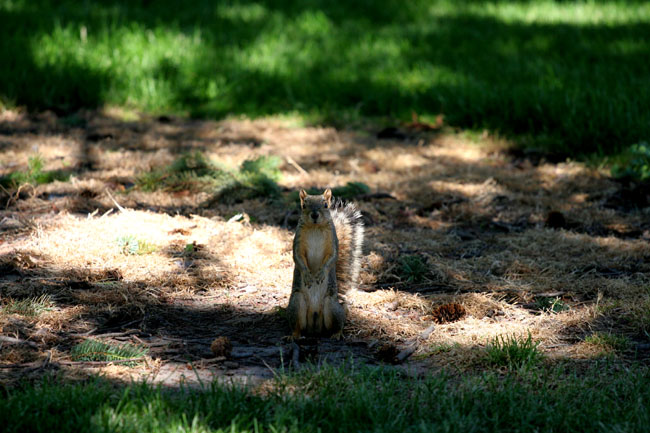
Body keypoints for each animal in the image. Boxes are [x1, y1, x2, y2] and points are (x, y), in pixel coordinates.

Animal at [287, 188, 364, 339]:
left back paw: (337, 334)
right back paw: (293, 335)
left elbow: (332, 257)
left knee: (336, 325)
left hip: (331, 306)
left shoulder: (333, 241)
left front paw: (321, 273)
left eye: (325, 205)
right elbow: (297, 257)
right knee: (297, 326)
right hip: (297, 303)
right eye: (304, 206)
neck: (315, 227)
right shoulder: (298, 240)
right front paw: (307, 275)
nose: (315, 215)